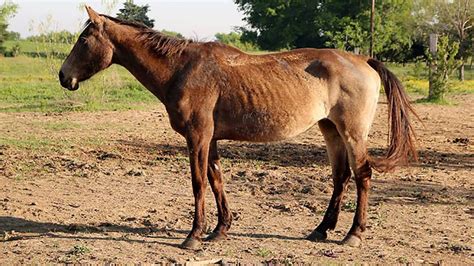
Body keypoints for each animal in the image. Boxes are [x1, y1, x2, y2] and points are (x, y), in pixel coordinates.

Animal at [60, 6, 418, 251]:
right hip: (330, 128)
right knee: (341, 177)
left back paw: (353, 234)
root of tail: (365, 61)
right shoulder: (211, 139)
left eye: (84, 39)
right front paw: (220, 229)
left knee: (362, 175)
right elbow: (216, 180)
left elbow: (198, 183)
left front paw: (194, 235)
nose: (64, 76)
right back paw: (321, 229)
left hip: (353, 132)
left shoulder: (198, 137)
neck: (182, 68)